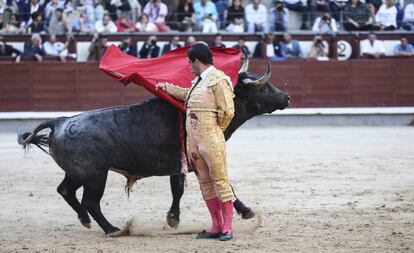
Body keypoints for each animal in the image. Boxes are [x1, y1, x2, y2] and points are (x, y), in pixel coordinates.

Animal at [17, 58, 290, 236]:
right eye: (265, 87)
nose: (286, 97)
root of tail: (60, 121)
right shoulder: (190, 162)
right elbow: (220, 187)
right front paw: (247, 212)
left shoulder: (179, 166)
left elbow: (178, 190)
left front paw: (173, 219)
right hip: (95, 175)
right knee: (90, 201)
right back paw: (112, 229)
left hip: (77, 173)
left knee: (65, 191)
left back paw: (85, 221)